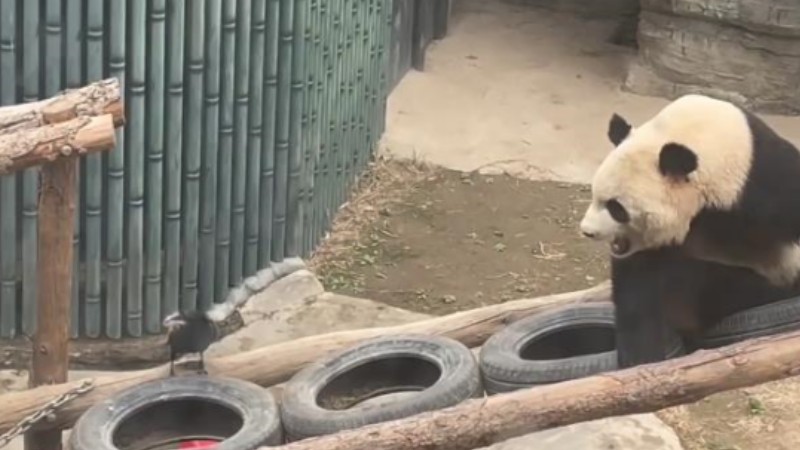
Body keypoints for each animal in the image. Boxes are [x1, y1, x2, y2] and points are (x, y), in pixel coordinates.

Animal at [580, 93, 800, 368]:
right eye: (595, 195)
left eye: (615, 208)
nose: (587, 231)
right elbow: (637, 290)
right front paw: (640, 360)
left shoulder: (766, 186)